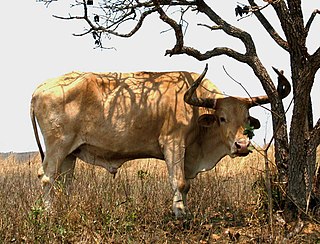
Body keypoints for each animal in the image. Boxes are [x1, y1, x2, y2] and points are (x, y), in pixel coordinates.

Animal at [30, 65, 290, 217]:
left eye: (246, 119)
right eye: (222, 118)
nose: (242, 145)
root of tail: (41, 88)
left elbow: (186, 185)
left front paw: (184, 209)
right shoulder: (173, 143)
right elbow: (179, 182)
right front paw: (180, 214)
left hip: (70, 154)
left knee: (63, 184)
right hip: (57, 147)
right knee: (46, 178)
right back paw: (49, 215)